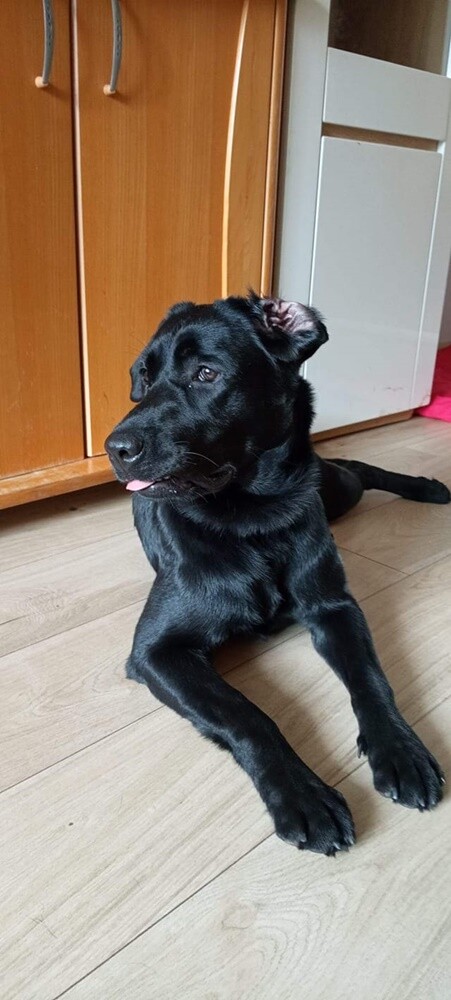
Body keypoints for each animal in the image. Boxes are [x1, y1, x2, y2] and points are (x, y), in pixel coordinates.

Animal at [105, 293, 449, 855]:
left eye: (206, 373)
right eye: (144, 377)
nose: (116, 448)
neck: (251, 521)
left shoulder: (335, 607)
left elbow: (372, 679)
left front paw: (401, 749)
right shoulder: (157, 651)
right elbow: (248, 715)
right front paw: (304, 796)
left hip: (335, 491)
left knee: (357, 468)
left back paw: (427, 487)